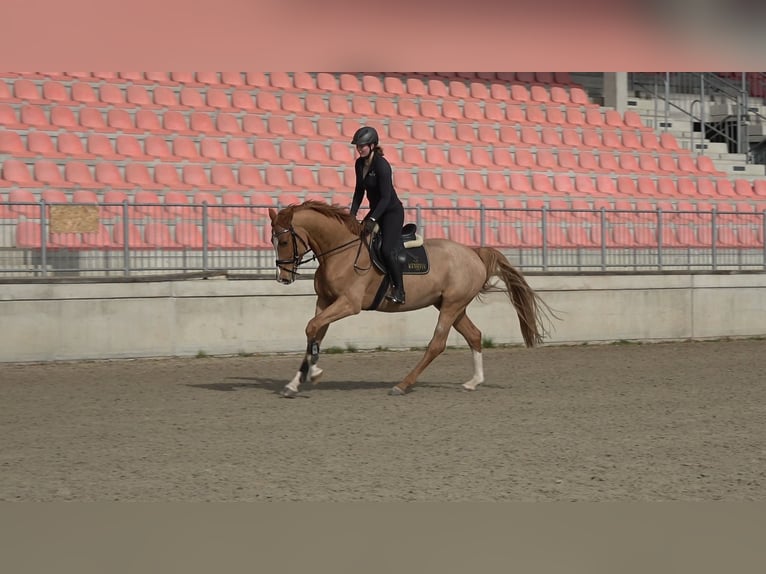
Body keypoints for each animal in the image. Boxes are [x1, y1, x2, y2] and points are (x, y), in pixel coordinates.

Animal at [268, 204, 548, 400]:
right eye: (273, 240)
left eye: (284, 241)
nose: (283, 277)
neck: (340, 252)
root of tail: (473, 252)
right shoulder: (325, 302)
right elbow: (314, 332)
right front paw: (294, 383)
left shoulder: (348, 304)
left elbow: (312, 328)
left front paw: (313, 374)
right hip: (451, 306)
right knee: (474, 335)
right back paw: (473, 382)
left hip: (451, 306)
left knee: (437, 344)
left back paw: (402, 385)